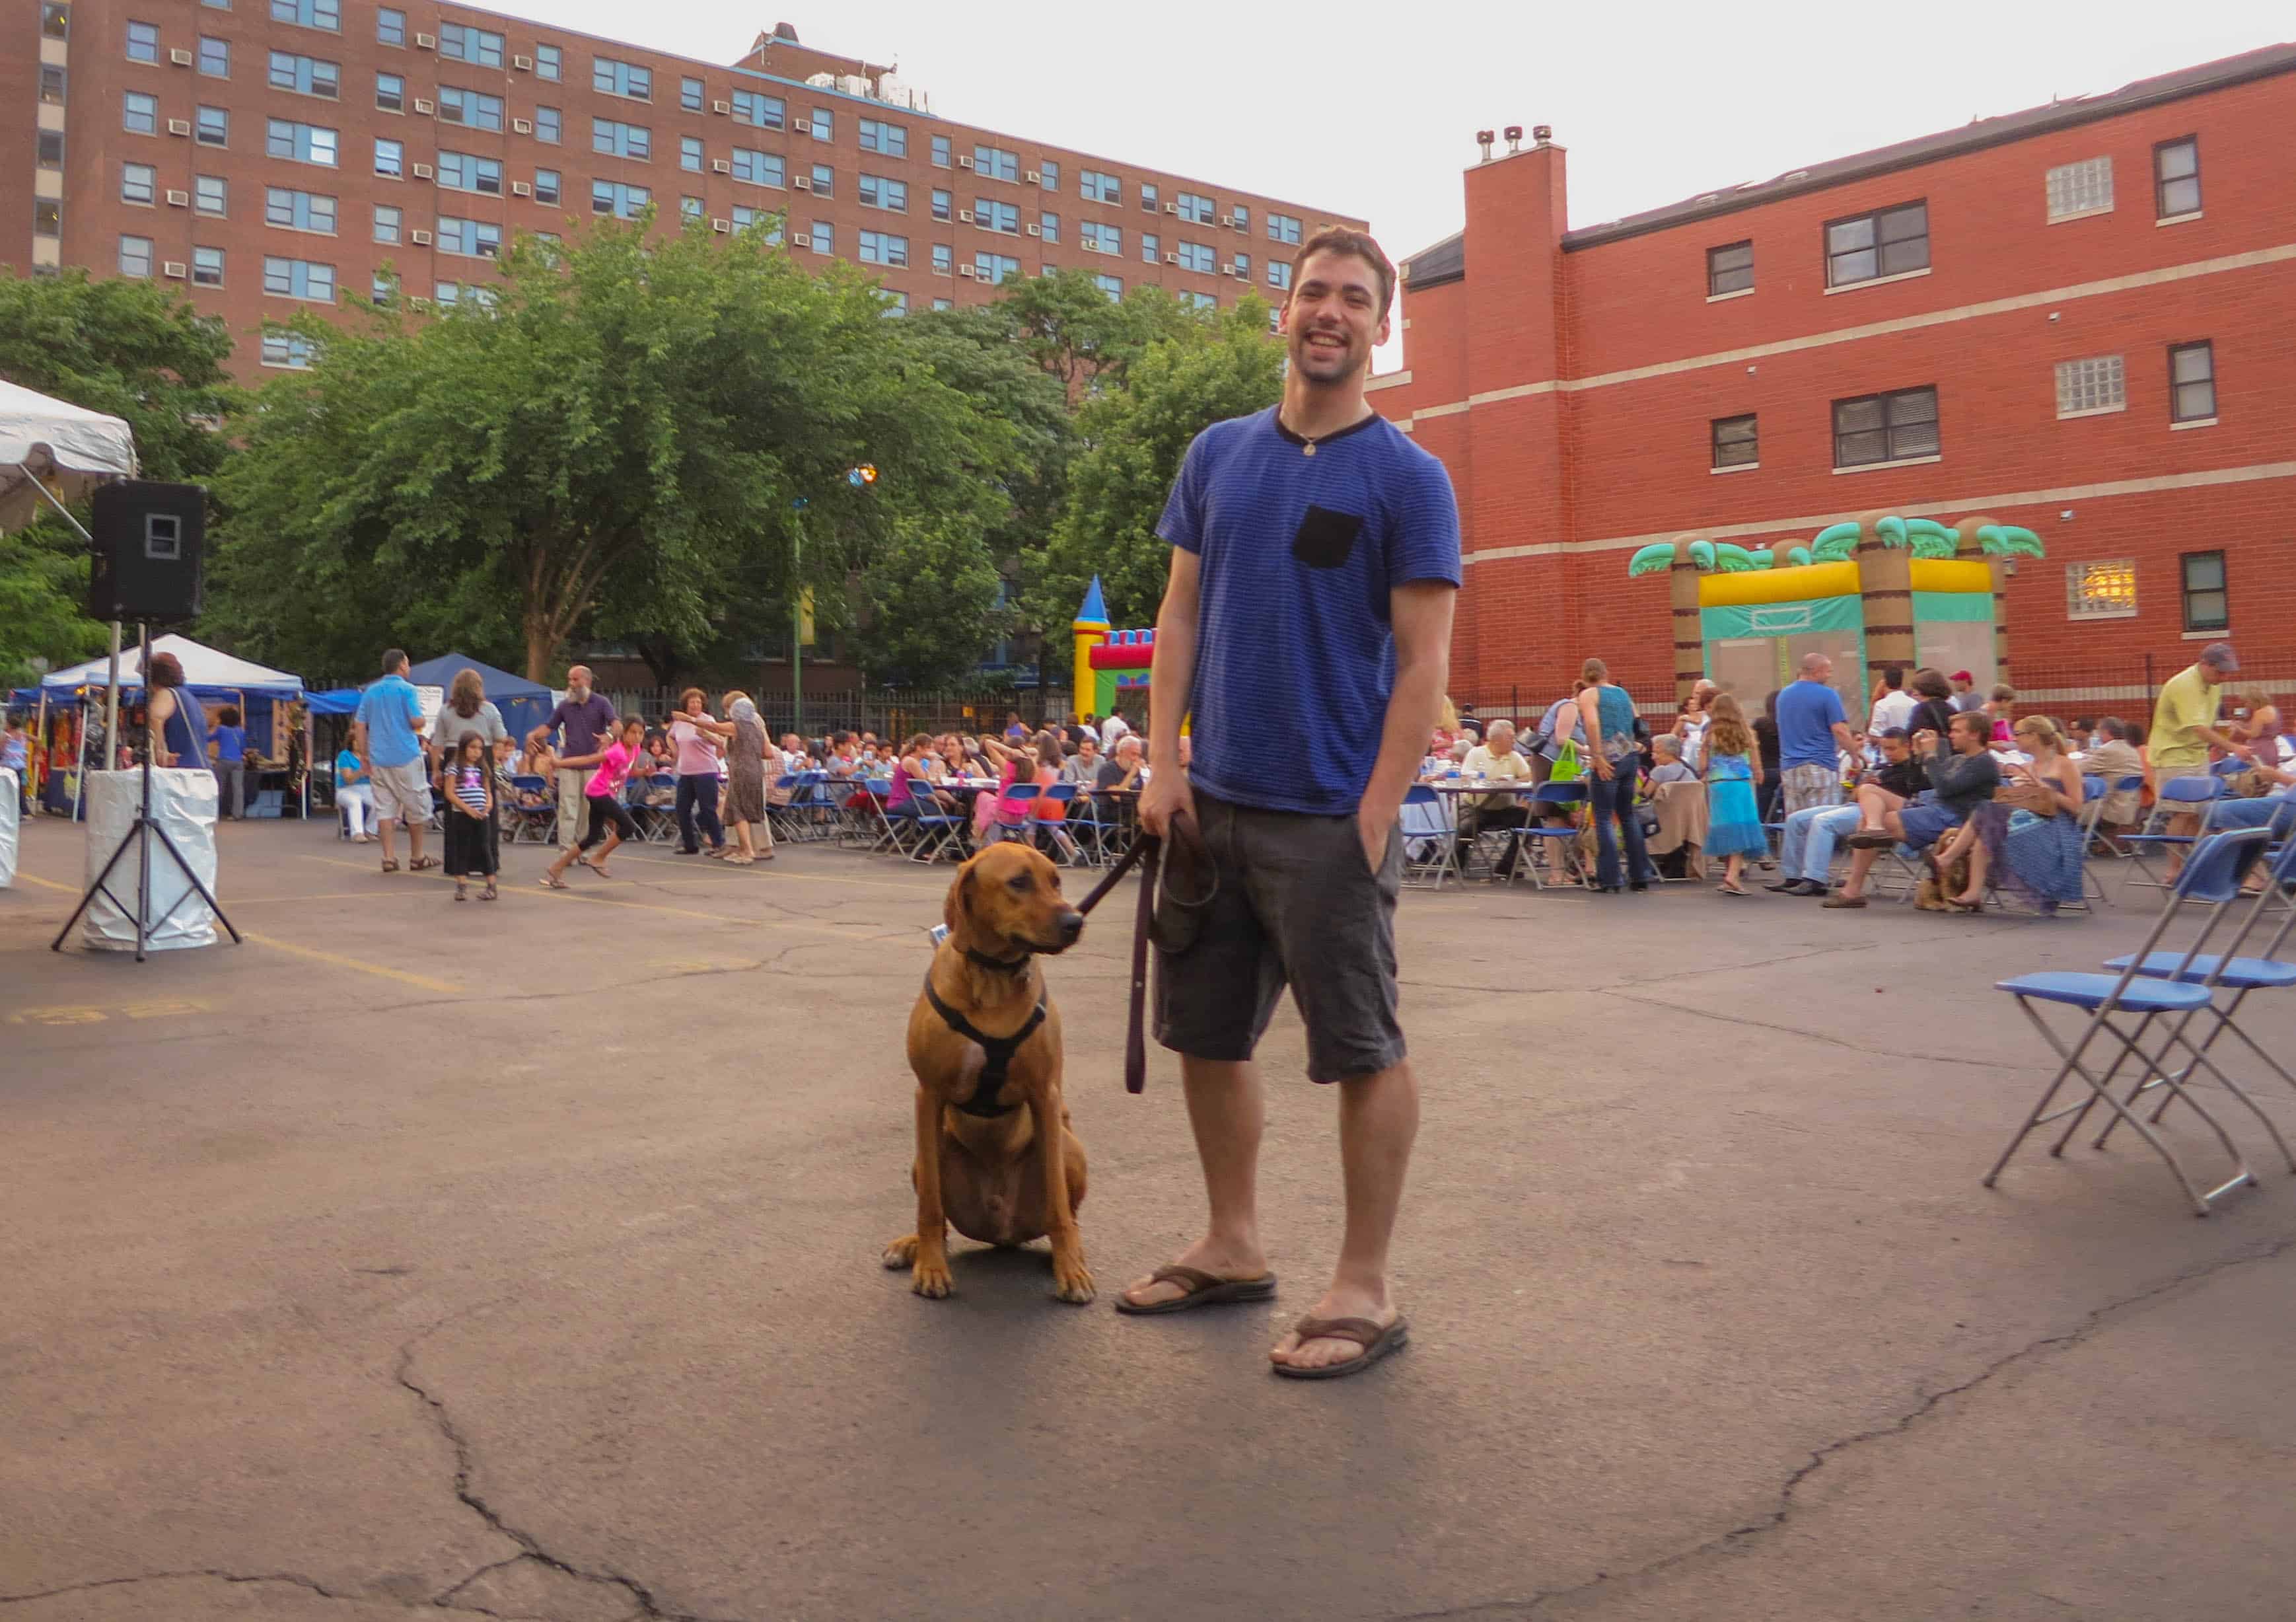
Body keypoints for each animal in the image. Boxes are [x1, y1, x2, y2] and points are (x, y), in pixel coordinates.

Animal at [877, 840, 1093, 1296]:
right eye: (1019, 882)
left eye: (1056, 880)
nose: (1075, 921)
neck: (992, 979)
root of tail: (1002, 1231)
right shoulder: (928, 1095)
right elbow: (930, 1207)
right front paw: (931, 1267)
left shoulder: (1045, 1095)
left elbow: (1059, 1207)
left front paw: (1070, 1271)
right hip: (928, 1153)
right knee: (938, 1216)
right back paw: (912, 1246)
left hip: (1069, 1146)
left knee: (1069, 1214)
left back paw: (1071, 1253)